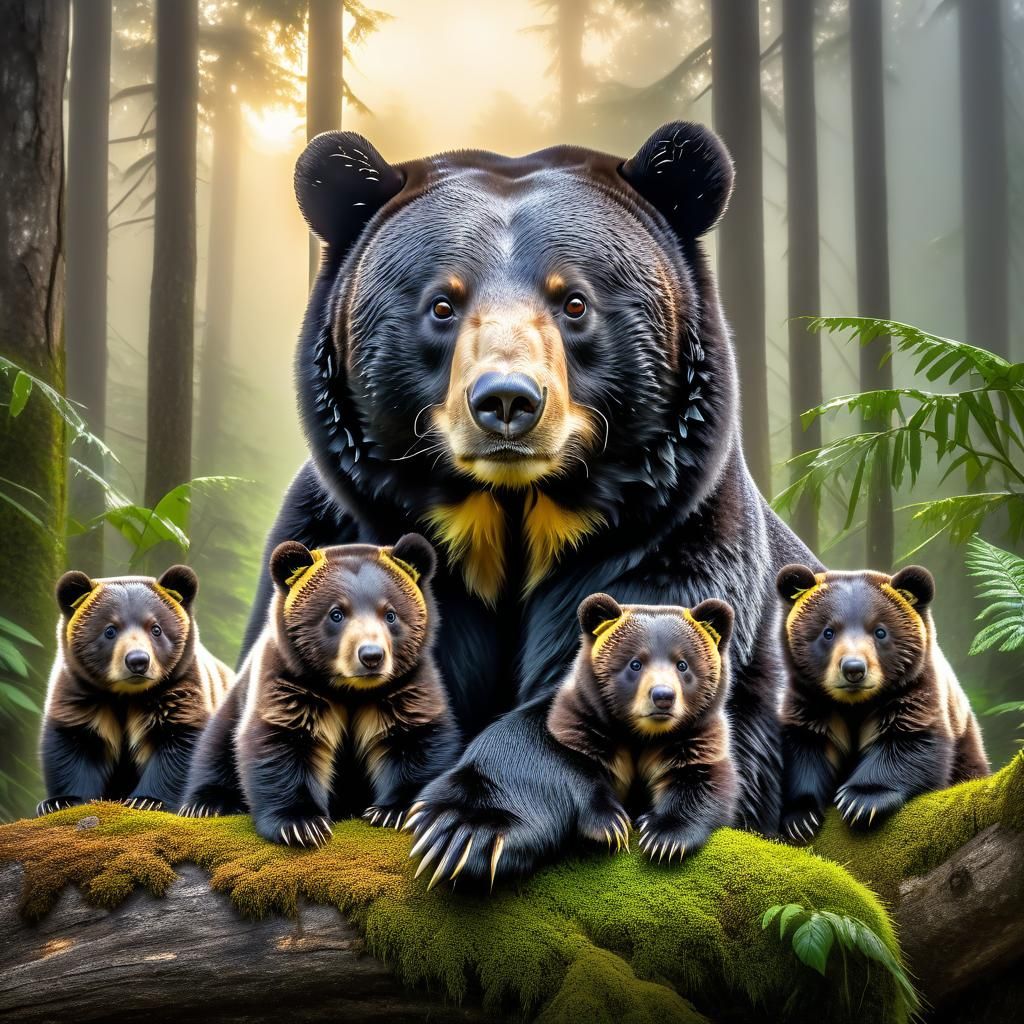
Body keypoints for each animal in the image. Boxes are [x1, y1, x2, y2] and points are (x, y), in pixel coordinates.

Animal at [38, 566, 232, 815]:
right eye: (110, 630)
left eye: (156, 629)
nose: (138, 661)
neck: (127, 694)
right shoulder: (79, 692)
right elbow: (74, 743)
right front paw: (59, 801)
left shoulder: (182, 689)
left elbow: (179, 744)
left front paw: (148, 800)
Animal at [181, 534, 460, 849]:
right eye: (336, 614)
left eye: (390, 614)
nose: (372, 656)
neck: (351, 689)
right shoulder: (289, 678)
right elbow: (282, 741)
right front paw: (301, 824)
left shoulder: (407, 682)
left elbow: (414, 737)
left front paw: (393, 811)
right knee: (216, 745)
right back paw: (207, 803)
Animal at [541, 593, 737, 871]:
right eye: (635, 663)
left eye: (682, 664)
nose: (663, 696)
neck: (643, 735)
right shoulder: (582, 724)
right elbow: (573, 769)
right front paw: (610, 825)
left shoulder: (699, 738)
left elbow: (703, 783)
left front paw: (662, 837)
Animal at [775, 563, 989, 842]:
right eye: (828, 632)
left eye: (880, 631)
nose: (854, 669)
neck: (855, 703)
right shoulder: (811, 700)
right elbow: (806, 746)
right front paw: (800, 819)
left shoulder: (914, 690)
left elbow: (910, 742)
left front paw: (860, 801)